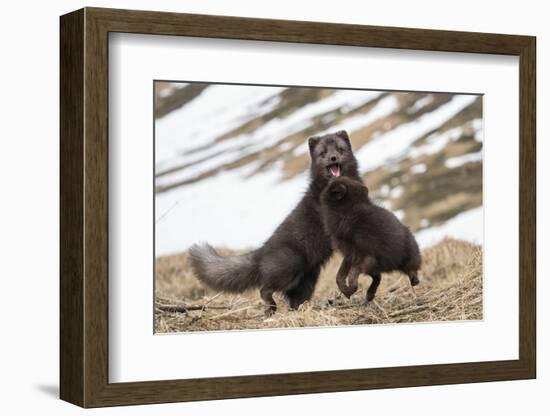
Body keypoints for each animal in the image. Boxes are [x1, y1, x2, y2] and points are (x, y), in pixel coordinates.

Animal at [189, 130, 362, 316]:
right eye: (323, 153)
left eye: (340, 149)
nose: (333, 158)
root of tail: (262, 252)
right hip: (290, 267)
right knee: (264, 289)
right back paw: (271, 308)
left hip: (307, 280)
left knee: (293, 300)